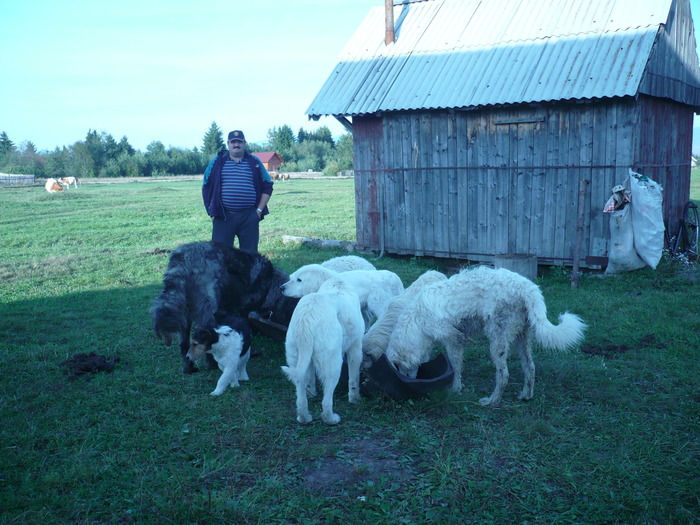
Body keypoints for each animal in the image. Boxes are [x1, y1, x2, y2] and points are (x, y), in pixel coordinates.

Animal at [152, 239, 296, 370]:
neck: (271, 283)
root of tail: (184, 257)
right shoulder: (242, 310)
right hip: (207, 309)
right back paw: (212, 363)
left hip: (185, 314)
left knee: (184, 344)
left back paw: (188, 367)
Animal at [280, 276, 366, 424]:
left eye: (299, 280)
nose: (281, 288)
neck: (337, 283)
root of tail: (307, 318)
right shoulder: (355, 348)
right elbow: (354, 378)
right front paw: (355, 399)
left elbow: (310, 378)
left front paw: (312, 393)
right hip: (332, 363)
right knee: (326, 401)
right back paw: (331, 419)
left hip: (295, 355)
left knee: (300, 391)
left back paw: (304, 417)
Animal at [386, 266, 588, 406]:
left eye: (399, 367)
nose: (410, 379)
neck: (417, 320)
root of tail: (527, 287)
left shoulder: (454, 339)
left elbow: (455, 368)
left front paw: (455, 390)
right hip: (521, 338)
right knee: (530, 368)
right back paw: (525, 396)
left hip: (497, 341)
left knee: (504, 375)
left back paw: (492, 401)